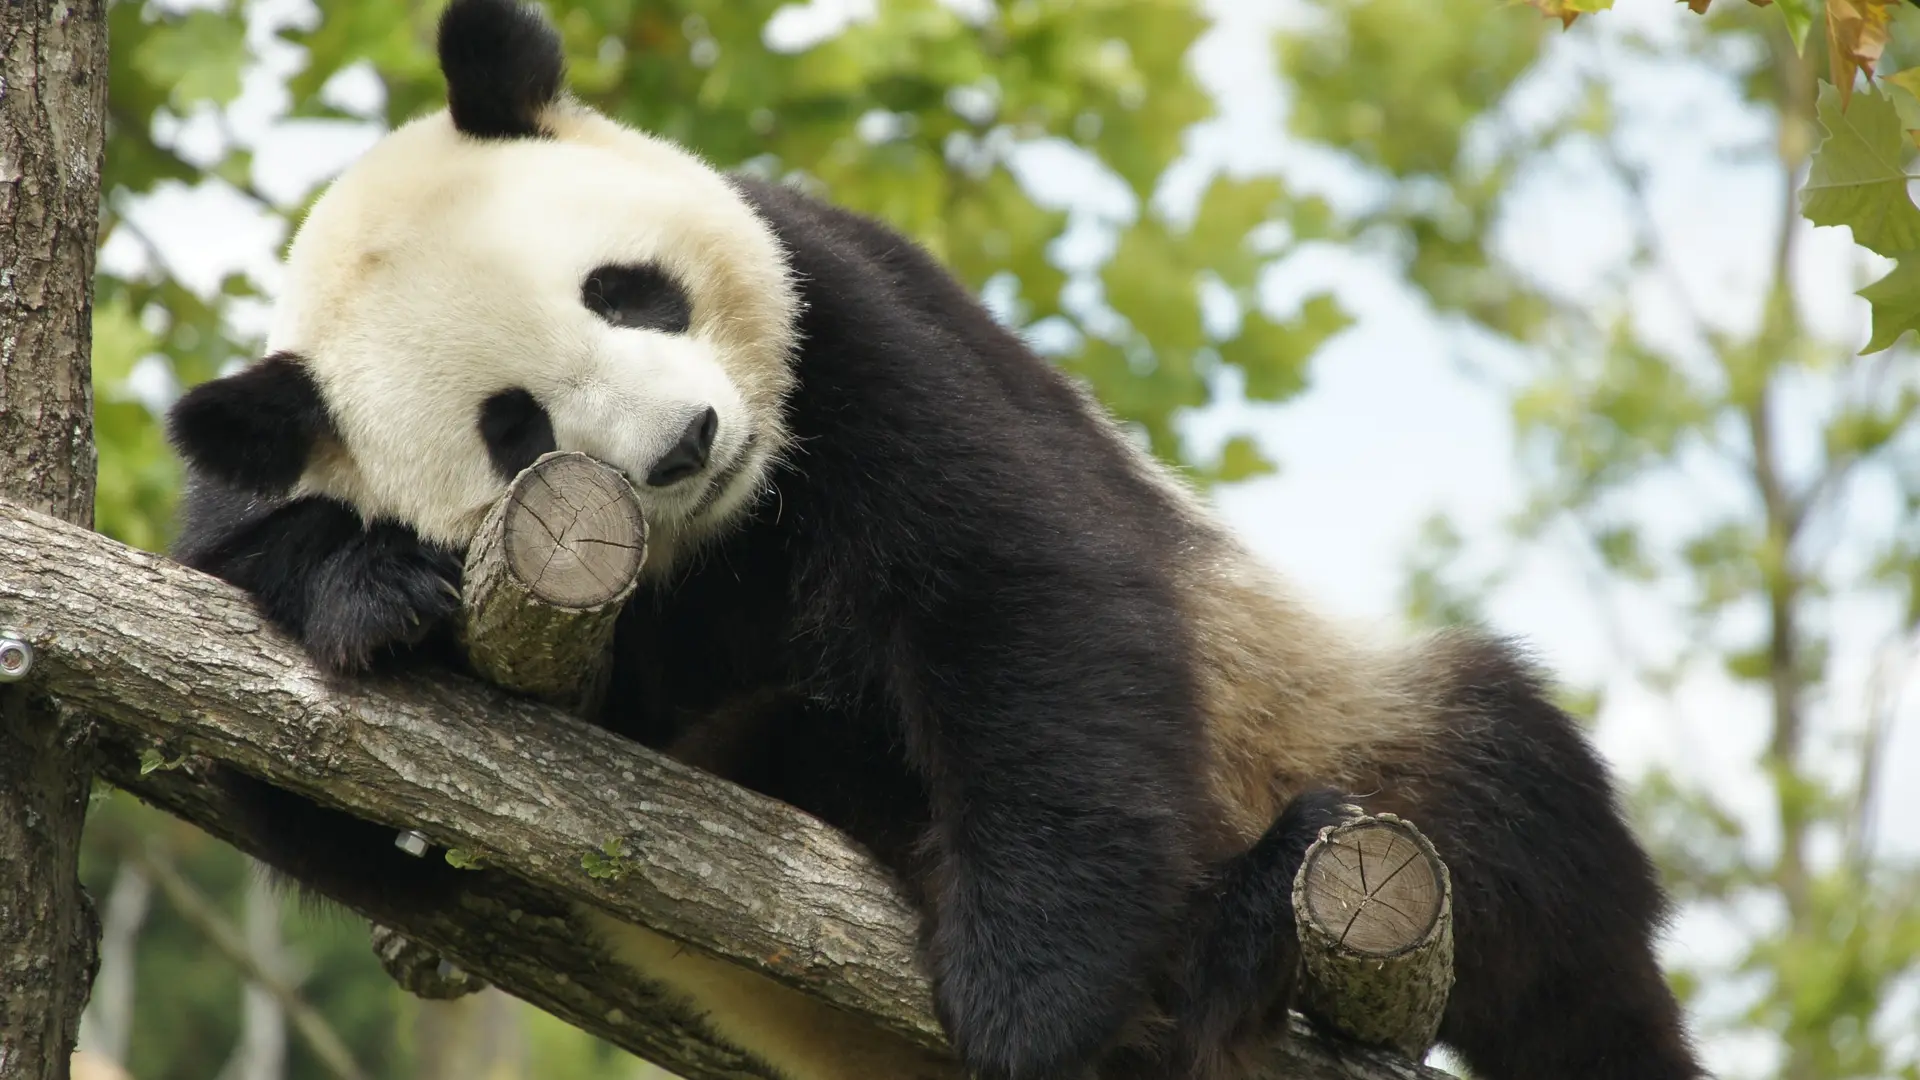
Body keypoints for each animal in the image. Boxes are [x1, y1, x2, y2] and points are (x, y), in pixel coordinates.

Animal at [162, 1, 1705, 1078]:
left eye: (628, 292)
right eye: (515, 428)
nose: (686, 443)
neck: (725, 546)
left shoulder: (848, 323)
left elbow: (1011, 588)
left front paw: (1034, 996)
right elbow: (329, 806)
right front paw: (366, 588)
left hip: (1337, 729)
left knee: (1527, 853)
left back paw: (1254, 932)